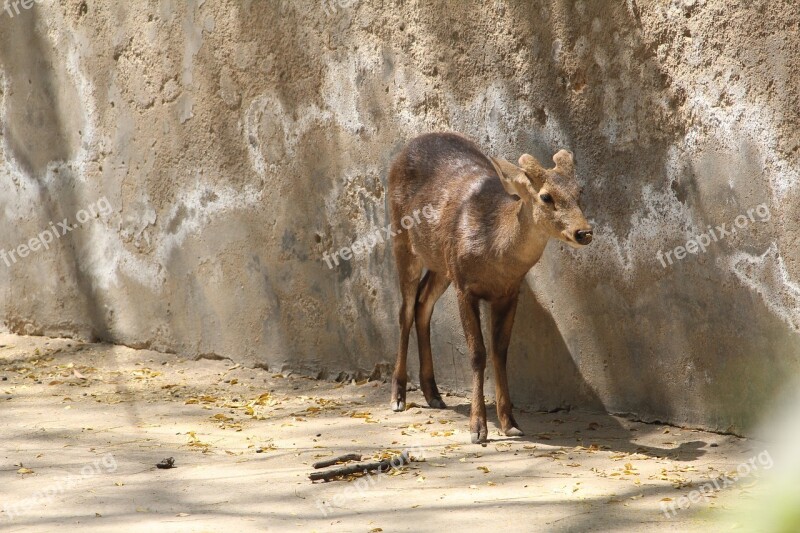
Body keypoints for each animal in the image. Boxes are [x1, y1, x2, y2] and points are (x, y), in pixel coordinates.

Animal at [388, 131, 592, 442]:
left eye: (580, 191)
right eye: (546, 196)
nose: (584, 232)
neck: (493, 253)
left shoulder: (509, 292)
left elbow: (500, 351)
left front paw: (510, 422)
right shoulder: (465, 288)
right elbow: (477, 353)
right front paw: (478, 428)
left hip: (441, 263)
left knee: (423, 304)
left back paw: (433, 394)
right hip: (402, 239)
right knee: (405, 310)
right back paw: (398, 396)